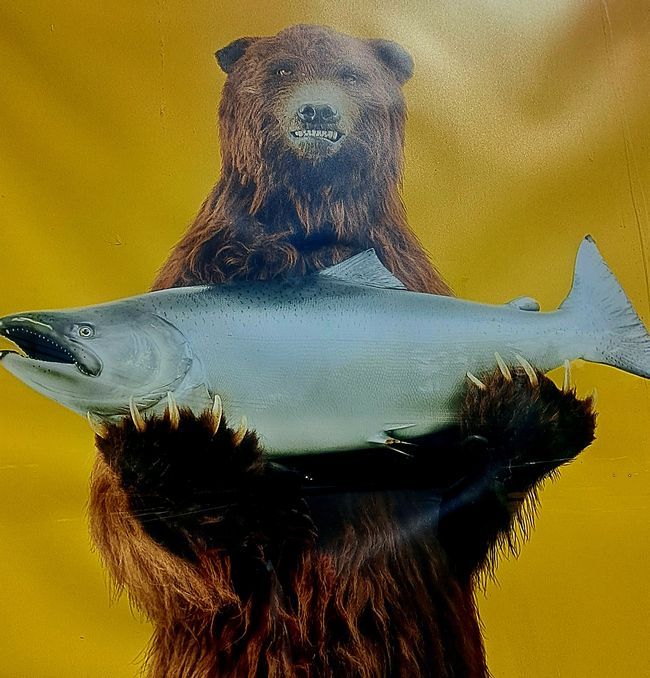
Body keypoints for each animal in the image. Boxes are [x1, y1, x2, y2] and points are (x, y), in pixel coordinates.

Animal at [88, 24, 596, 677]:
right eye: (280, 69)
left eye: (351, 73)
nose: (317, 110)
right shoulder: (195, 276)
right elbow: (137, 531)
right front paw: (192, 455)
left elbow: (446, 511)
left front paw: (524, 414)